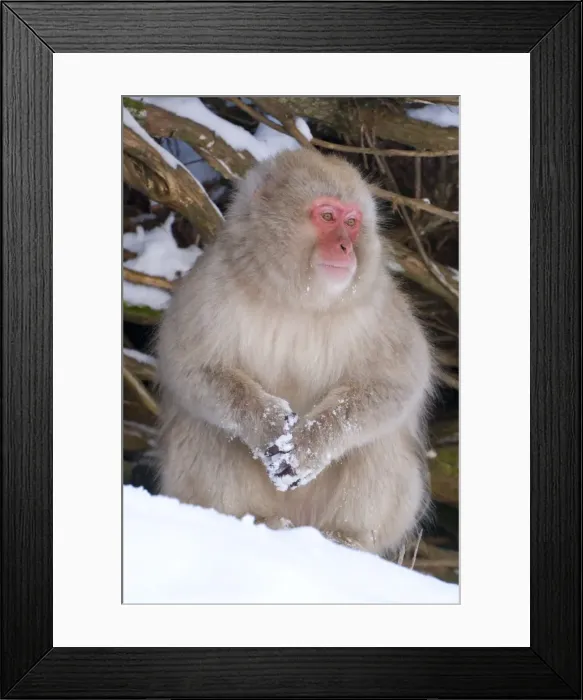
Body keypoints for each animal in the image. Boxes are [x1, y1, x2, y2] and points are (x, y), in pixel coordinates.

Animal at [154, 148, 435, 558]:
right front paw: (267, 422)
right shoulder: (210, 286)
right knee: (207, 426)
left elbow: (394, 385)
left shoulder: (379, 304)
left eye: (352, 222)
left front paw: (309, 444)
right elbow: (192, 367)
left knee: (379, 440)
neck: (298, 299)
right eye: (328, 216)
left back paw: (345, 537)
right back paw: (252, 519)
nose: (346, 247)